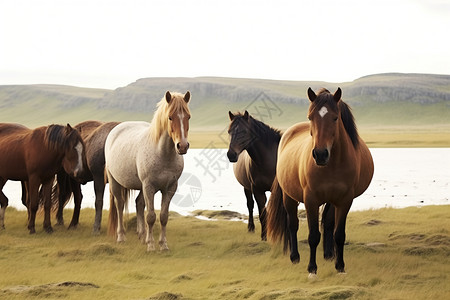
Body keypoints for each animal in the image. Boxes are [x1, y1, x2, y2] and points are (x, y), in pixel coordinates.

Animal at [106, 91, 191, 251]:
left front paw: (163, 245)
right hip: (116, 182)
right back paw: (121, 236)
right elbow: (151, 216)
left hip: (141, 187)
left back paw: (142, 236)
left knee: (139, 204)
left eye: (188, 116)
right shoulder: (149, 186)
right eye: (170, 117)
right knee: (120, 205)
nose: (182, 146)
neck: (162, 154)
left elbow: (163, 217)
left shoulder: (170, 188)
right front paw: (151, 245)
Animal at [225, 110, 282, 241]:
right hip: (246, 187)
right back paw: (251, 227)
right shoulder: (257, 190)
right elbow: (262, 214)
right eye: (229, 131)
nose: (231, 155)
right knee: (250, 205)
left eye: (244, 131)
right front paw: (264, 237)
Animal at [266, 87, 374, 276]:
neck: (332, 165)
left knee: (329, 224)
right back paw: (295, 257)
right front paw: (312, 268)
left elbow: (339, 234)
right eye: (310, 117)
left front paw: (340, 266)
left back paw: (329, 255)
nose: (320, 154)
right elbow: (313, 235)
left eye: (335, 117)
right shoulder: (311, 200)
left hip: (331, 201)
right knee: (292, 224)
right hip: (289, 196)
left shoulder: (344, 201)